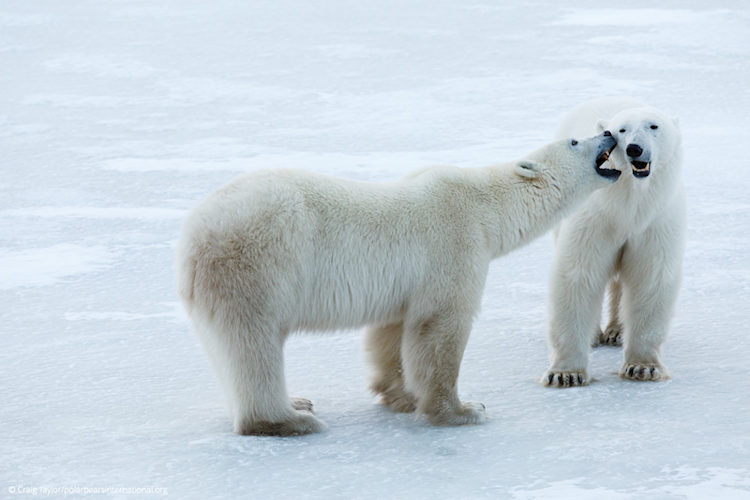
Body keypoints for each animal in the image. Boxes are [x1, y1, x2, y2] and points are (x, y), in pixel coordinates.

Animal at [177, 132, 619, 436]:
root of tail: (194, 236)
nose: (610, 134)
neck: (484, 206)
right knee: (254, 345)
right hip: (258, 264)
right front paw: (463, 410)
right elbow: (440, 327)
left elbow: (391, 332)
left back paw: (297, 401)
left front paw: (401, 395)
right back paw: (290, 419)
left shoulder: (404, 284)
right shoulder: (454, 242)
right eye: (575, 139)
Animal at [542, 97, 686, 387]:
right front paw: (566, 373)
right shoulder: (594, 219)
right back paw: (597, 334)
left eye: (654, 125)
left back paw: (617, 331)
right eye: (621, 130)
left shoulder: (655, 222)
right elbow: (579, 275)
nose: (634, 148)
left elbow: (650, 278)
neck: (628, 205)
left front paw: (643, 367)